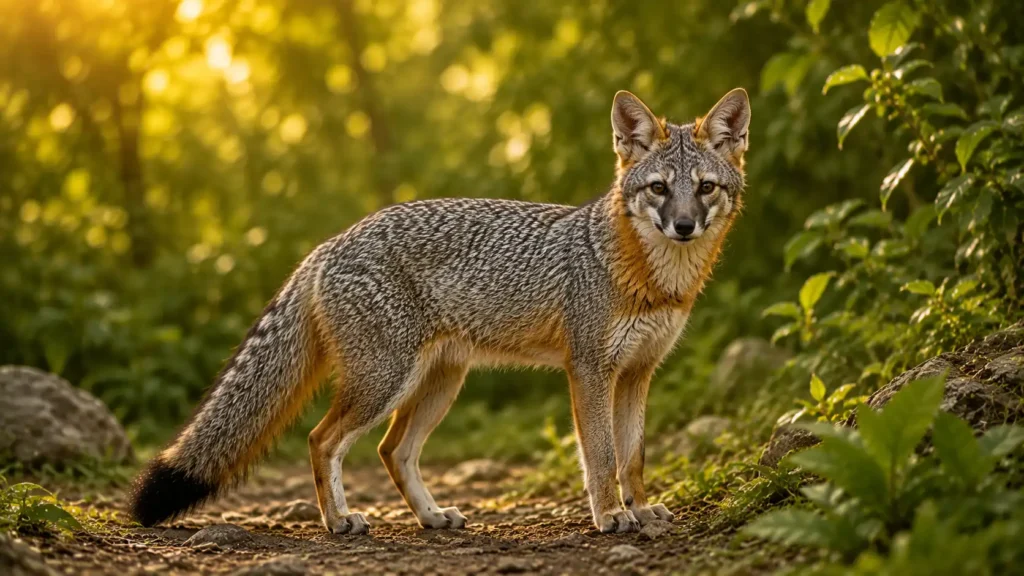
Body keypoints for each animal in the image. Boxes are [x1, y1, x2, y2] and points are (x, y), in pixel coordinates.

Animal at [129, 88, 751, 534]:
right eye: (658, 189)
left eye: (705, 188)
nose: (684, 225)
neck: (654, 280)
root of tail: (329, 244)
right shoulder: (590, 371)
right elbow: (600, 457)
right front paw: (611, 517)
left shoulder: (639, 373)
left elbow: (634, 458)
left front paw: (641, 511)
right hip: (383, 383)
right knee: (321, 440)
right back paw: (338, 521)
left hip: (438, 385)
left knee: (393, 451)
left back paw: (431, 517)